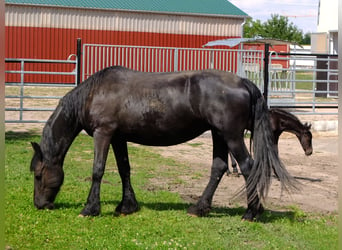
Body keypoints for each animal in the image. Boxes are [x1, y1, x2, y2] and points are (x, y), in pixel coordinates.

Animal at [30, 66, 296, 221]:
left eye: (38, 175)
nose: (39, 205)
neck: (95, 92)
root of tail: (242, 82)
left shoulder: (103, 133)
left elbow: (98, 170)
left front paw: (90, 209)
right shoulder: (118, 137)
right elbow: (124, 169)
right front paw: (126, 206)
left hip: (231, 135)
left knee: (249, 167)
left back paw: (251, 212)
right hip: (219, 134)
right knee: (219, 168)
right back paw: (199, 208)